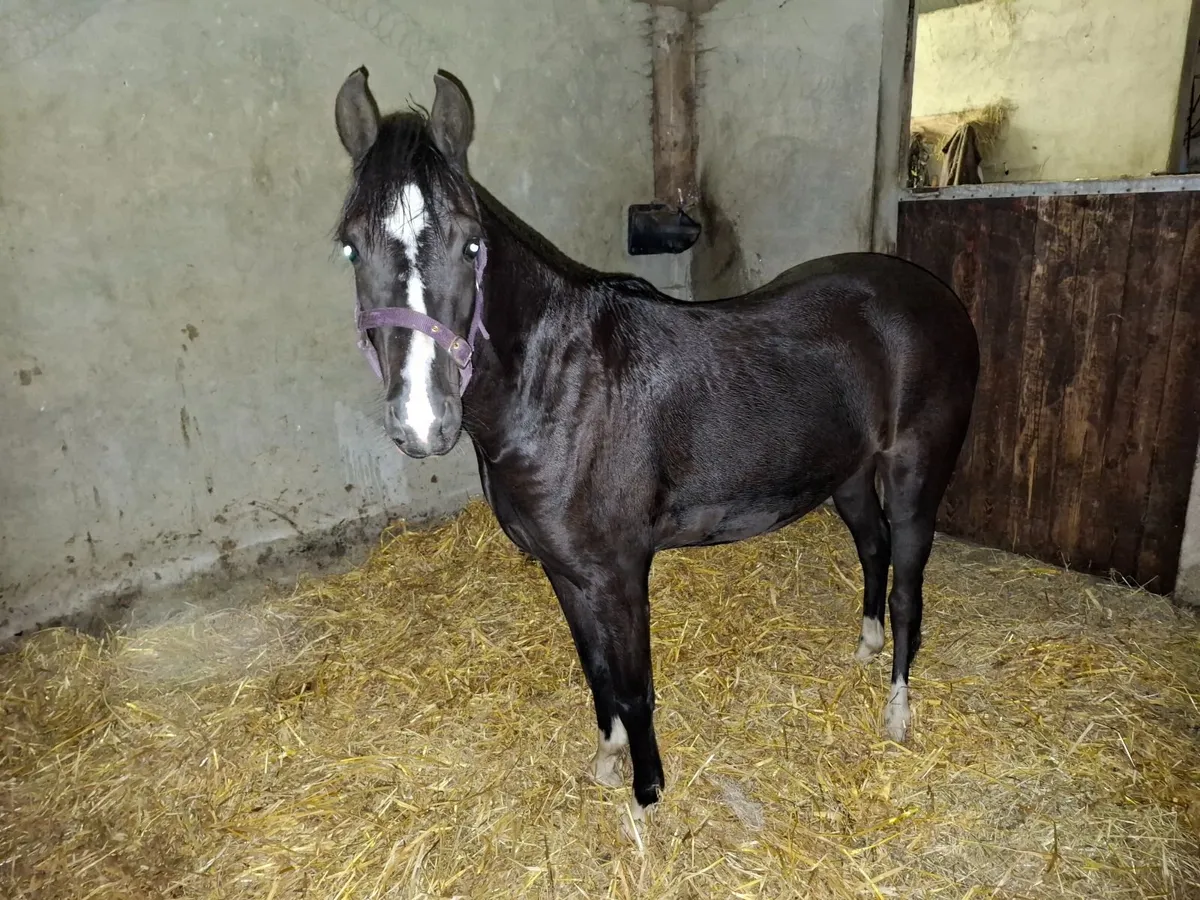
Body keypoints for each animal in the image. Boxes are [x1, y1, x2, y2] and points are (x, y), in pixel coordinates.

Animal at [331, 66, 980, 832]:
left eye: (470, 245)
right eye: (350, 247)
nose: (423, 423)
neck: (562, 390)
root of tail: (929, 297)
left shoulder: (619, 572)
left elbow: (635, 685)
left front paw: (647, 793)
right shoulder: (565, 571)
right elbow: (597, 673)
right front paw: (608, 760)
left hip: (915, 476)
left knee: (908, 586)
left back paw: (897, 711)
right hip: (847, 475)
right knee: (873, 549)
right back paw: (866, 646)